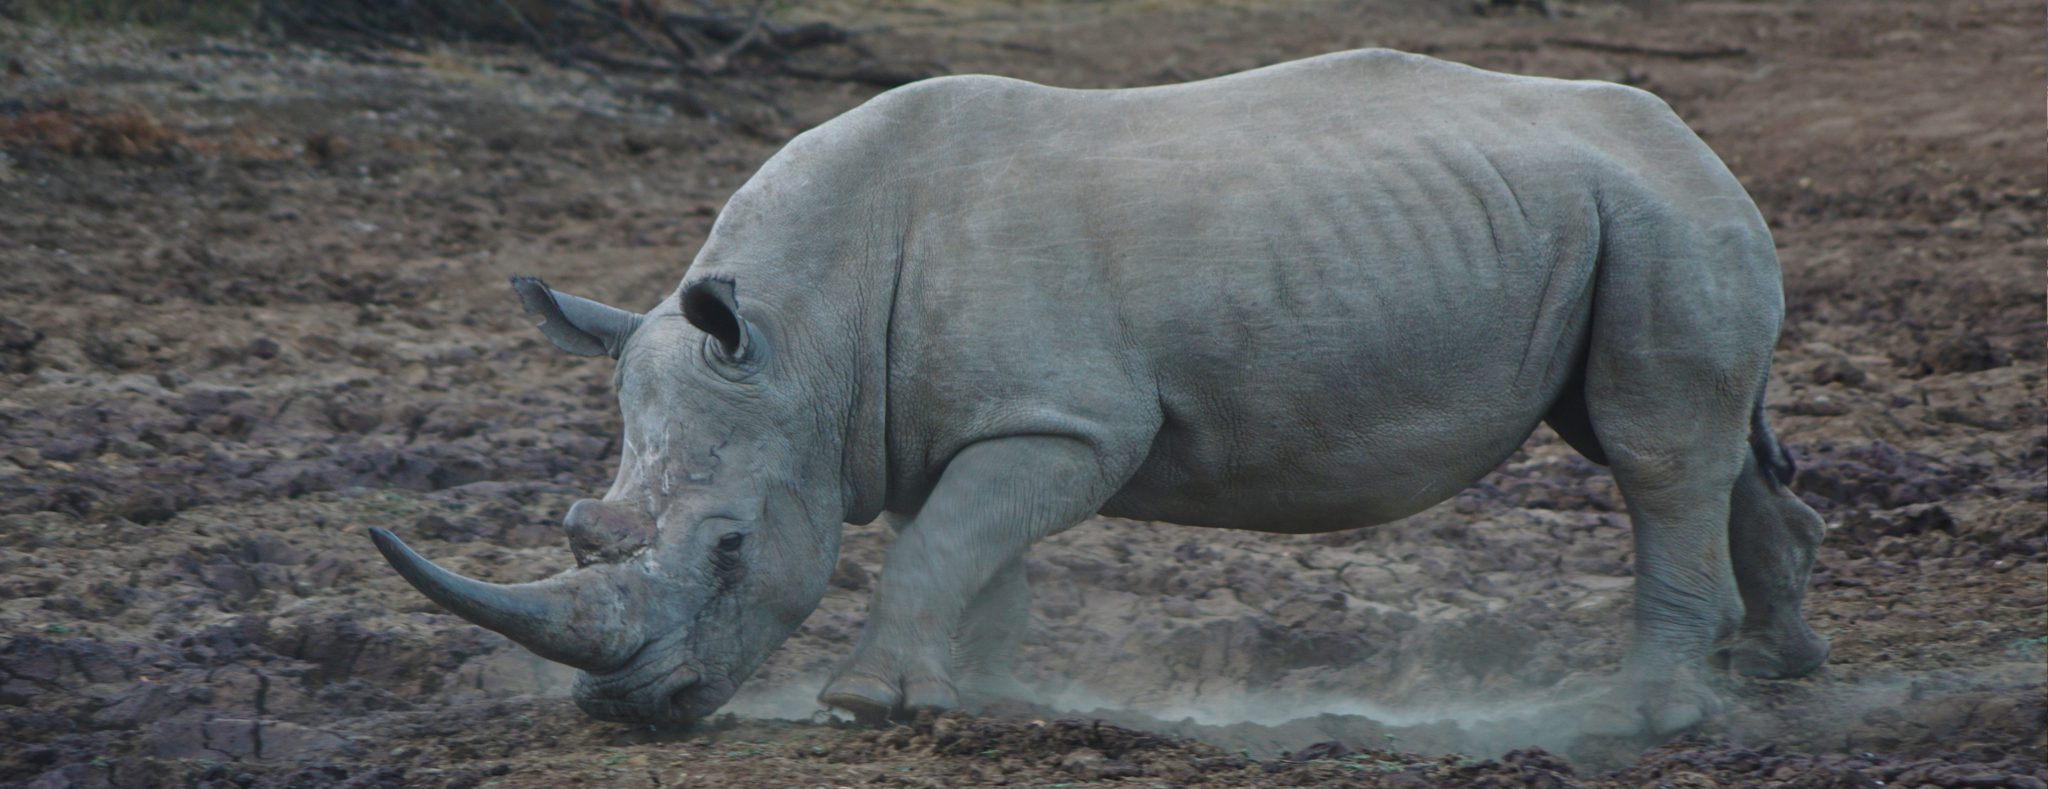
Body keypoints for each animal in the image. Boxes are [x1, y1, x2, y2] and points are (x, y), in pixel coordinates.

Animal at [364, 49, 1826, 733]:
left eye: (728, 550)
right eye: (577, 532)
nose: (624, 713)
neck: (800, 335)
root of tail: (1692, 139)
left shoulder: (1066, 420)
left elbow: (943, 543)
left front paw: (866, 704)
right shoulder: (953, 417)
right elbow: (963, 549)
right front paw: (970, 697)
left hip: (1662, 217)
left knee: (1650, 449)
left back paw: (1637, 717)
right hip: (1611, 215)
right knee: (1689, 445)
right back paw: (1776, 673)